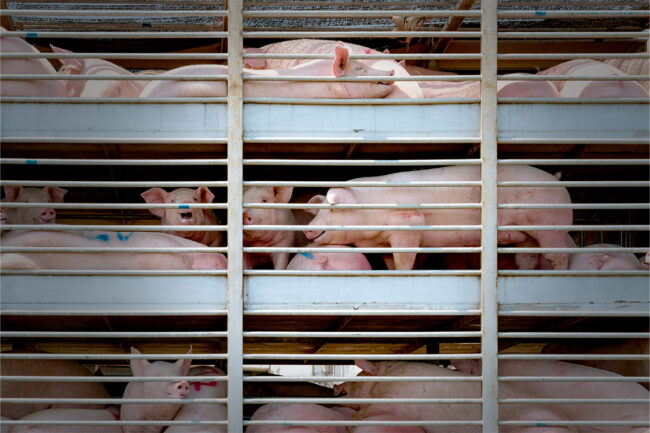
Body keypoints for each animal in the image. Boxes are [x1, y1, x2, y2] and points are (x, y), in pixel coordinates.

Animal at [302, 165, 568, 270]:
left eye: (330, 209)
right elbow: (391, 262)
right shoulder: (384, 243)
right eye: (318, 211)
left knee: (558, 254)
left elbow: (405, 259)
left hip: (551, 223)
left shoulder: (408, 222)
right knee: (527, 257)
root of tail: (557, 181)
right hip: (528, 237)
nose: (306, 228)